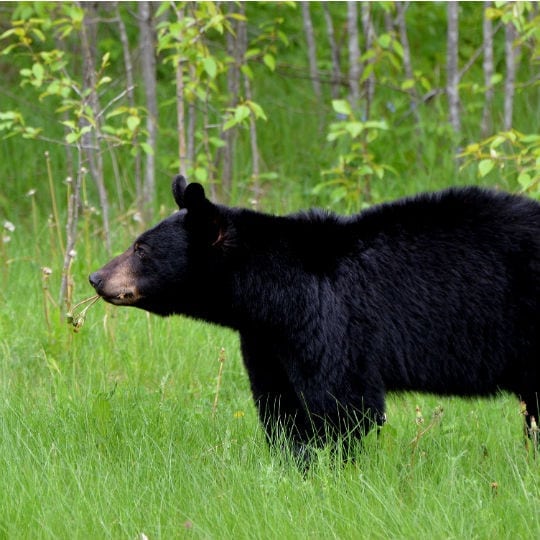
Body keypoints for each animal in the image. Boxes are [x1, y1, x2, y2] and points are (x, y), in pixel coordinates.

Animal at [88, 177, 540, 452]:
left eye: (141, 249)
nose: (96, 277)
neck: (269, 295)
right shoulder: (266, 339)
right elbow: (279, 404)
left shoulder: (332, 322)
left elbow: (342, 403)